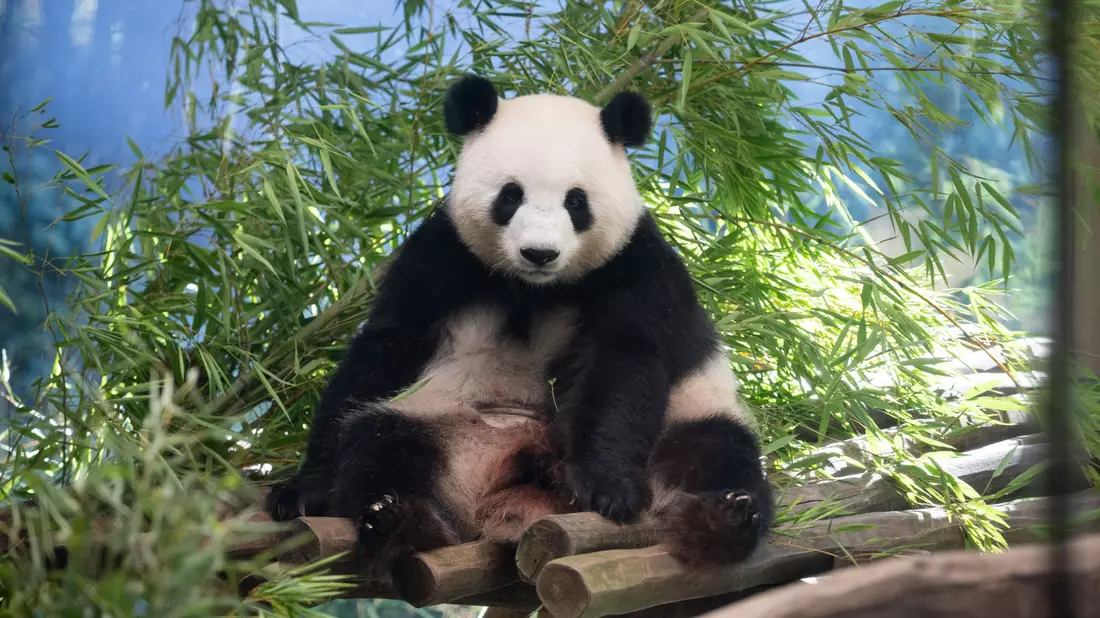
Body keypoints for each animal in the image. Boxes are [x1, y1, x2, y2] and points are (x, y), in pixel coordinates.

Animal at [266, 75, 773, 576]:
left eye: (576, 201)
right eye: (511, 195)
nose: (539, 253)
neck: (536, 287)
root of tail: (513, 496)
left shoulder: (634, 265)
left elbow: (622, 361)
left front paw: (607, 486)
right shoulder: (441, 255)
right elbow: (387, 346)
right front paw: (302, 490)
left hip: (690, 415)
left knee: (716, 452)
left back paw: (722, 520)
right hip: (445, 426)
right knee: (380, 443)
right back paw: (398, 521)